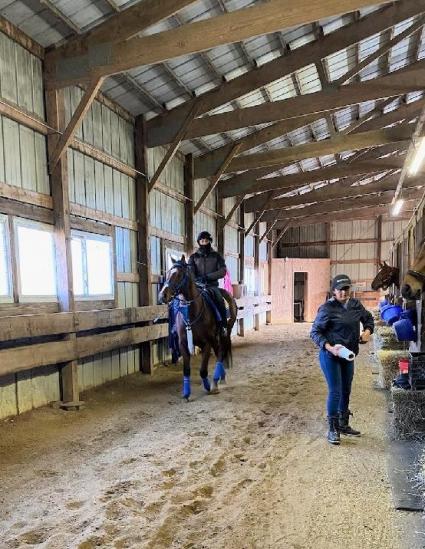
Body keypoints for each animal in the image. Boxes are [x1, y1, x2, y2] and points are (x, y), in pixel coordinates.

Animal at [159, 255, 238, 400]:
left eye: (179, 274)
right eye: (167, 273)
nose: (162, 295)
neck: (192, 312)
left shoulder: (207, 343)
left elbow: (203, 370)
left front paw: (207, 386)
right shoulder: (183, 344)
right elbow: (186, 370)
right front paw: (186, 393)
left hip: (224, 333)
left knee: (220, 353)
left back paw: (216, 382)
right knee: (219, 352)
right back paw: (221, 378)